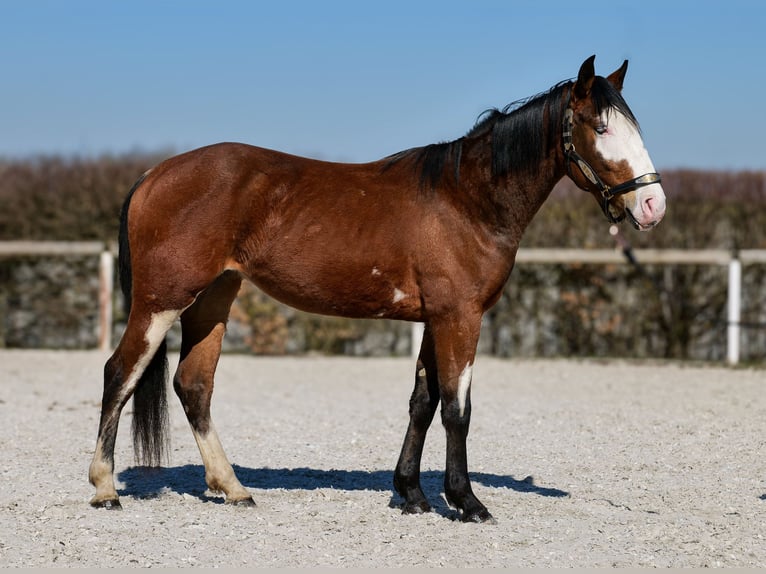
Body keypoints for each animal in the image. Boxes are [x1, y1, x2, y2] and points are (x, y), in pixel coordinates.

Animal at [88, 56, 664, 524]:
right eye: (600, 128)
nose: (653, 205)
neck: (466, 200)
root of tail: (155, 173)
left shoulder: (434, 319)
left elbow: (422, 403)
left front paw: (411, 494)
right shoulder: (460, 317)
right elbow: (457, 409)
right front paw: (467, 502)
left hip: (213, 299)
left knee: (193, 386)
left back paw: (233, 488)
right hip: (161, 302)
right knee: (120, 373)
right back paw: (104, 489)